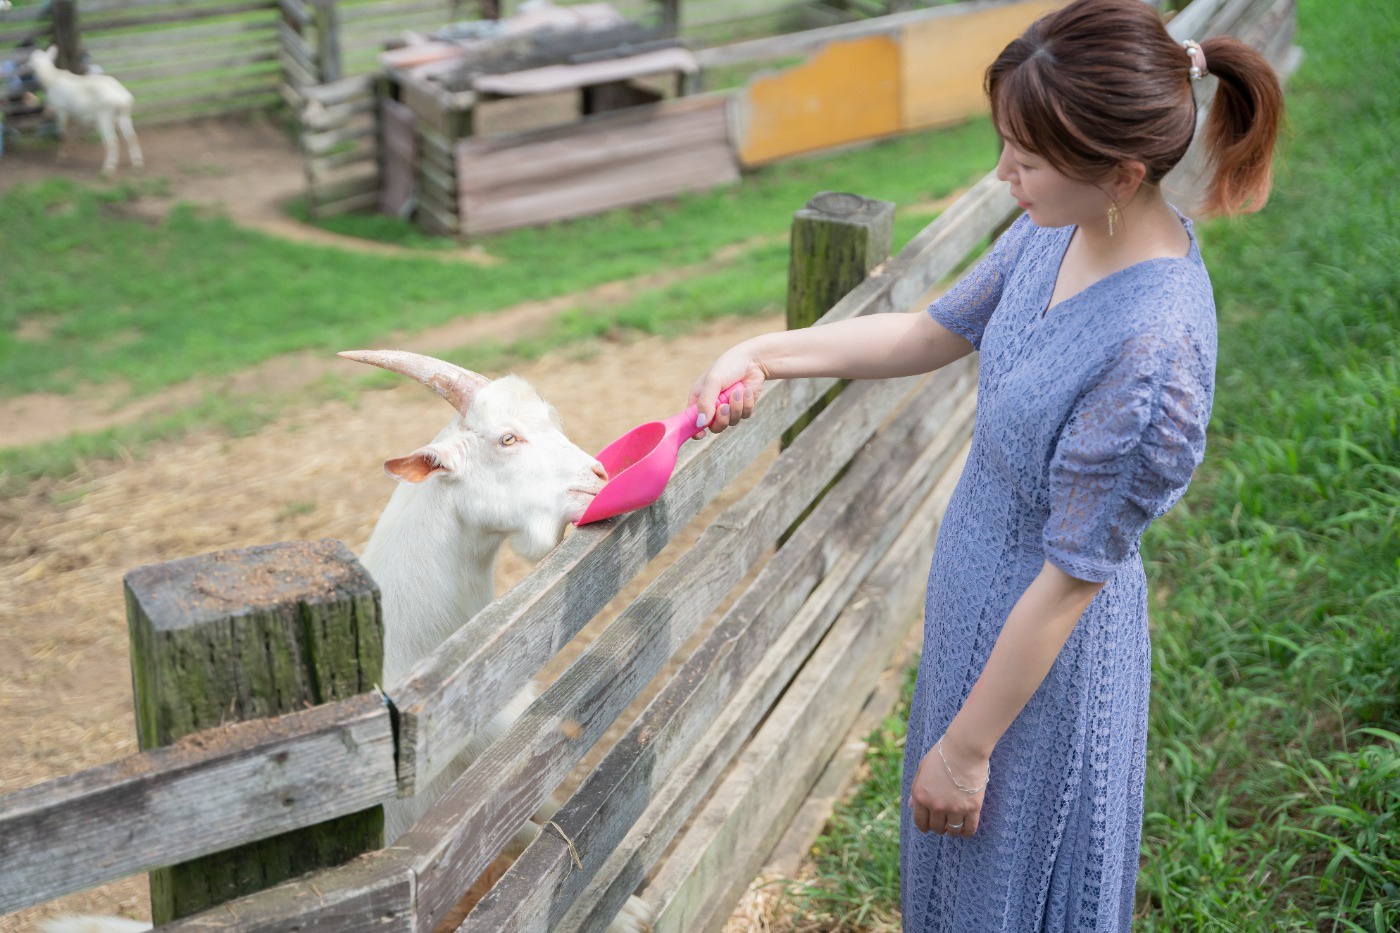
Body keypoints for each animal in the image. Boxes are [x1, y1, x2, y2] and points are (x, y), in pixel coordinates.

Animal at [26, 46, 142, 175]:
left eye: (31, 59)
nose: (26, 70)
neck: (52, 79)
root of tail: (122, 99)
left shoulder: (62, 110)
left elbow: (63, 133)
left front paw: (61, 158)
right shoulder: (74, 113)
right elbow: (73, 131)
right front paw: (72, 148)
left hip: (105, 116)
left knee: (112, 141)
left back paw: (108, 168)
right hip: (124, 115)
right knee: (131, 136)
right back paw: (137, 164)